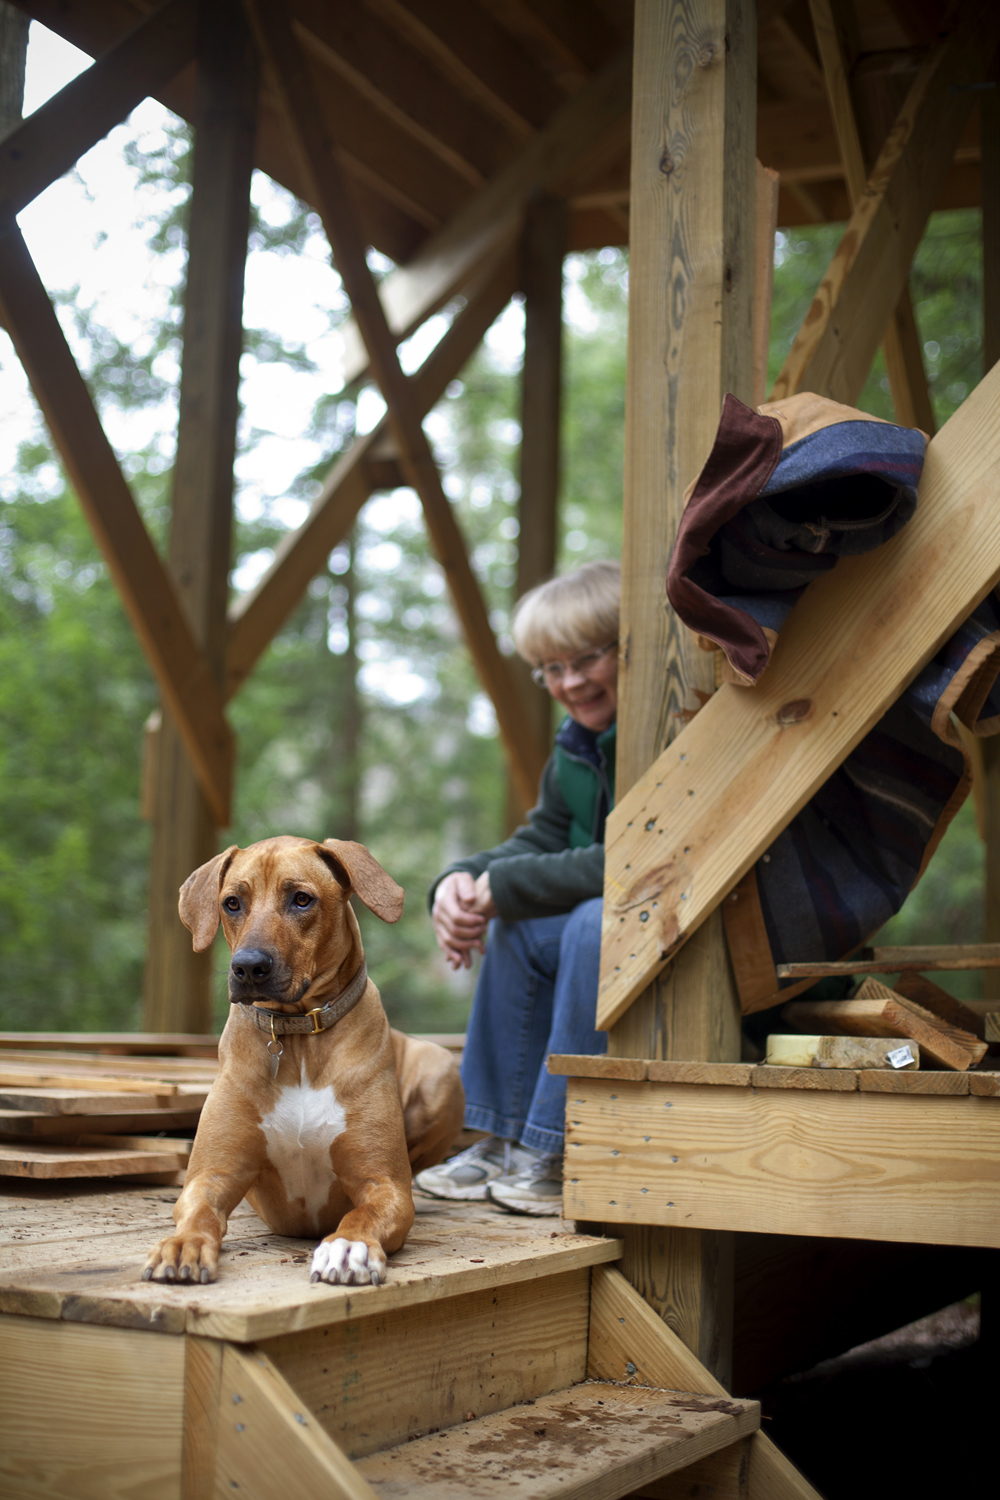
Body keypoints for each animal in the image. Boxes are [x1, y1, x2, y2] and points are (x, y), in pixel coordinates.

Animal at [142, 834, 464, 1290]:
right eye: (231, 903)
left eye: (301, 899)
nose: (248, 967)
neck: (295, 1039)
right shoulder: (211, 1176)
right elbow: (199, 1210)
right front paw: (182, 1242)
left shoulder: (386, 1186)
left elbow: (363, 1213)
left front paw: (348, 1246)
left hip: (442, 1071)